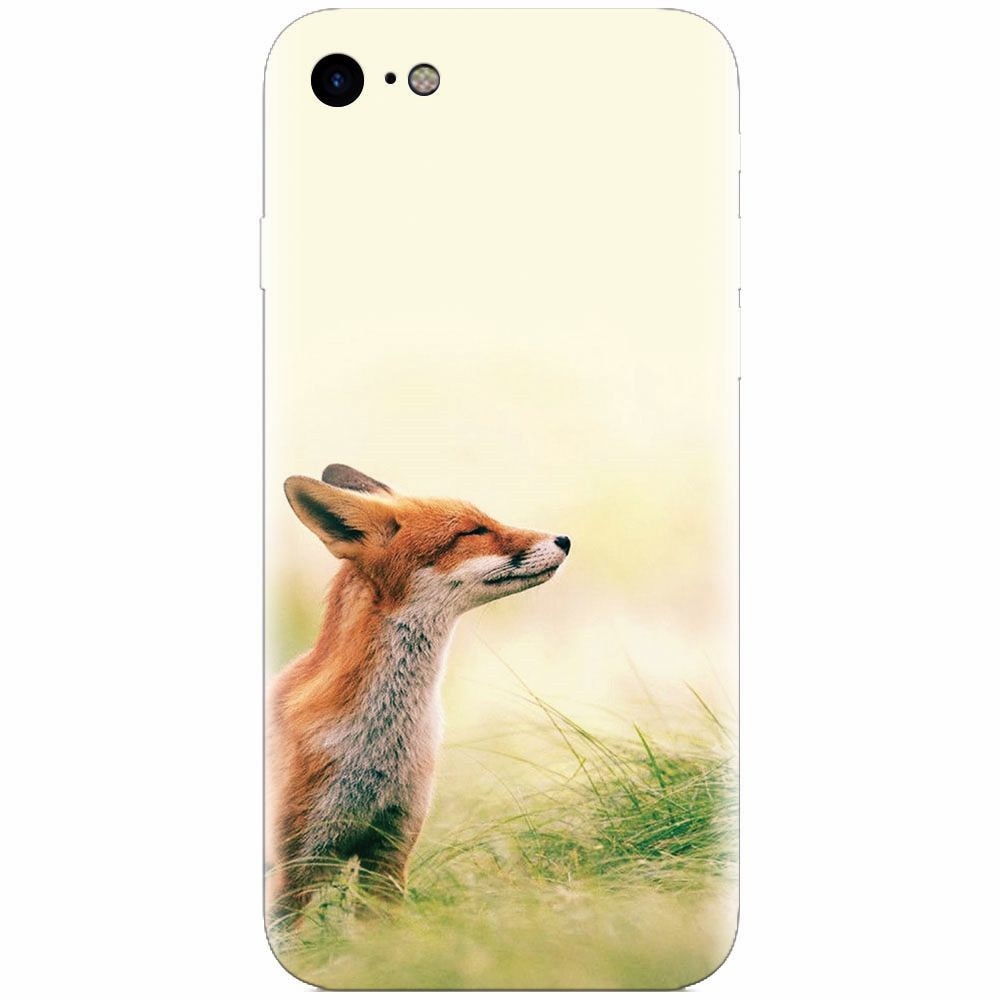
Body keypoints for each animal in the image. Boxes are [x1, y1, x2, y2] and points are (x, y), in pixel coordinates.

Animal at [266, 463, 570, 924]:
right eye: (473, 531)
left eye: (487, 520)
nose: (565, 540)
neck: (379, 746)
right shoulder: (292, 870)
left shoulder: (390, 851)